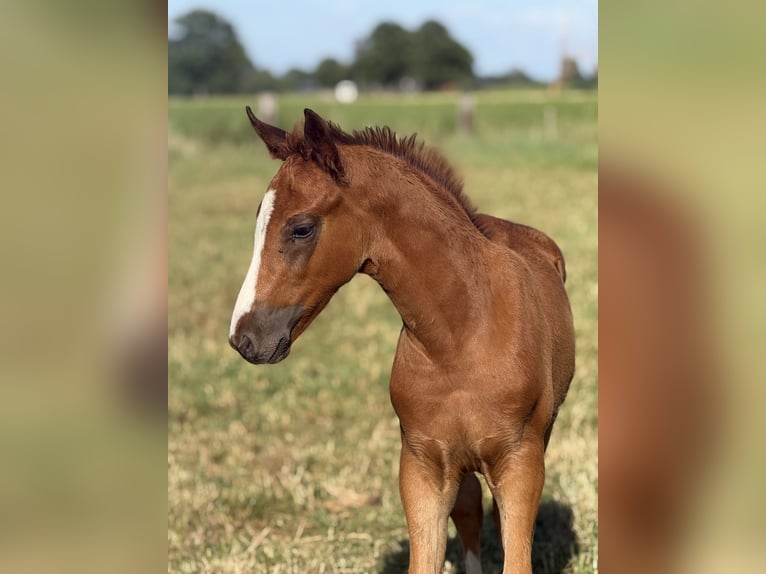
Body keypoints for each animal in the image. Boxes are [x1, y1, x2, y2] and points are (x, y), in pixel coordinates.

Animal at [228, 107, 575, 574]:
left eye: (301, 229)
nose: (244, 337)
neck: (460, 336)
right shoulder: (421, 466)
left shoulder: (521, 461)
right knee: (469, 508)